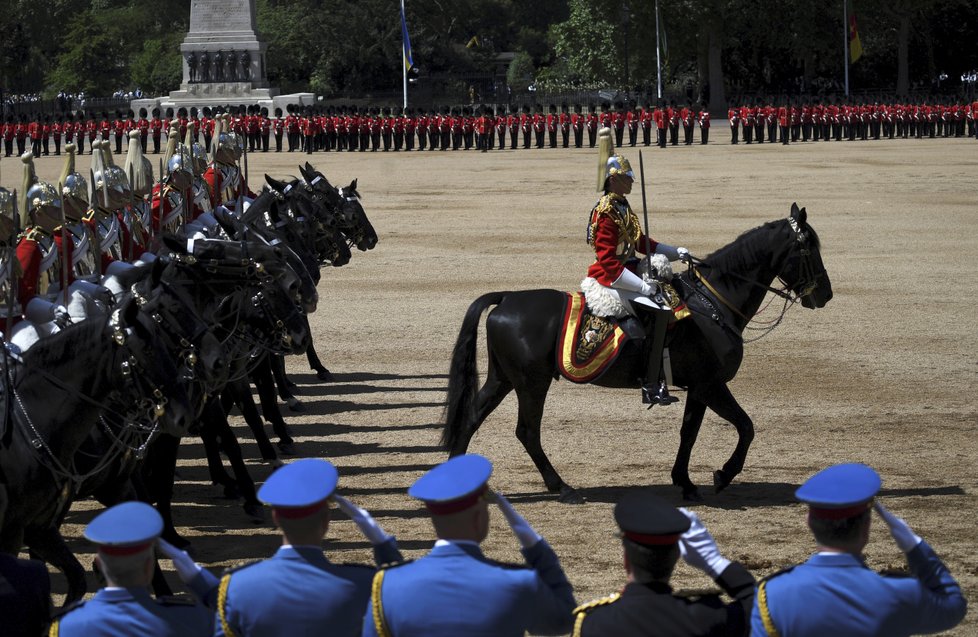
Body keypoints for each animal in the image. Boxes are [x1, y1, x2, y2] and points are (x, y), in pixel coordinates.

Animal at [442, 204, 832, 502]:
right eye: (808, 249)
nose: (825, 294)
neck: (713, 302)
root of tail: (508, 297)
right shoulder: (710, 384)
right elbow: (743, 427)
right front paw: (720, 476)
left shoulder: (698, 387)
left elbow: (692, 432)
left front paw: (686, 481)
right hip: (532, 383)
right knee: (526, 431)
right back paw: (561, 486)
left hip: (504, 379)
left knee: (472, 417)